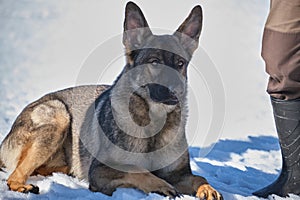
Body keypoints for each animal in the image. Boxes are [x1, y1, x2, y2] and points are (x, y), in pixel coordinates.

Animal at [0, 1, 223, 200]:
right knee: (14, 176)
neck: (154, 126)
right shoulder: (101, 171)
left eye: (180, 63)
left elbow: (199, 178)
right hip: (58, 115)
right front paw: (161, 186)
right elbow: (138, 171)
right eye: (154, 62)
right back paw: (23, 186)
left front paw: (208, 189)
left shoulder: (178, 175)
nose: (176, 91)